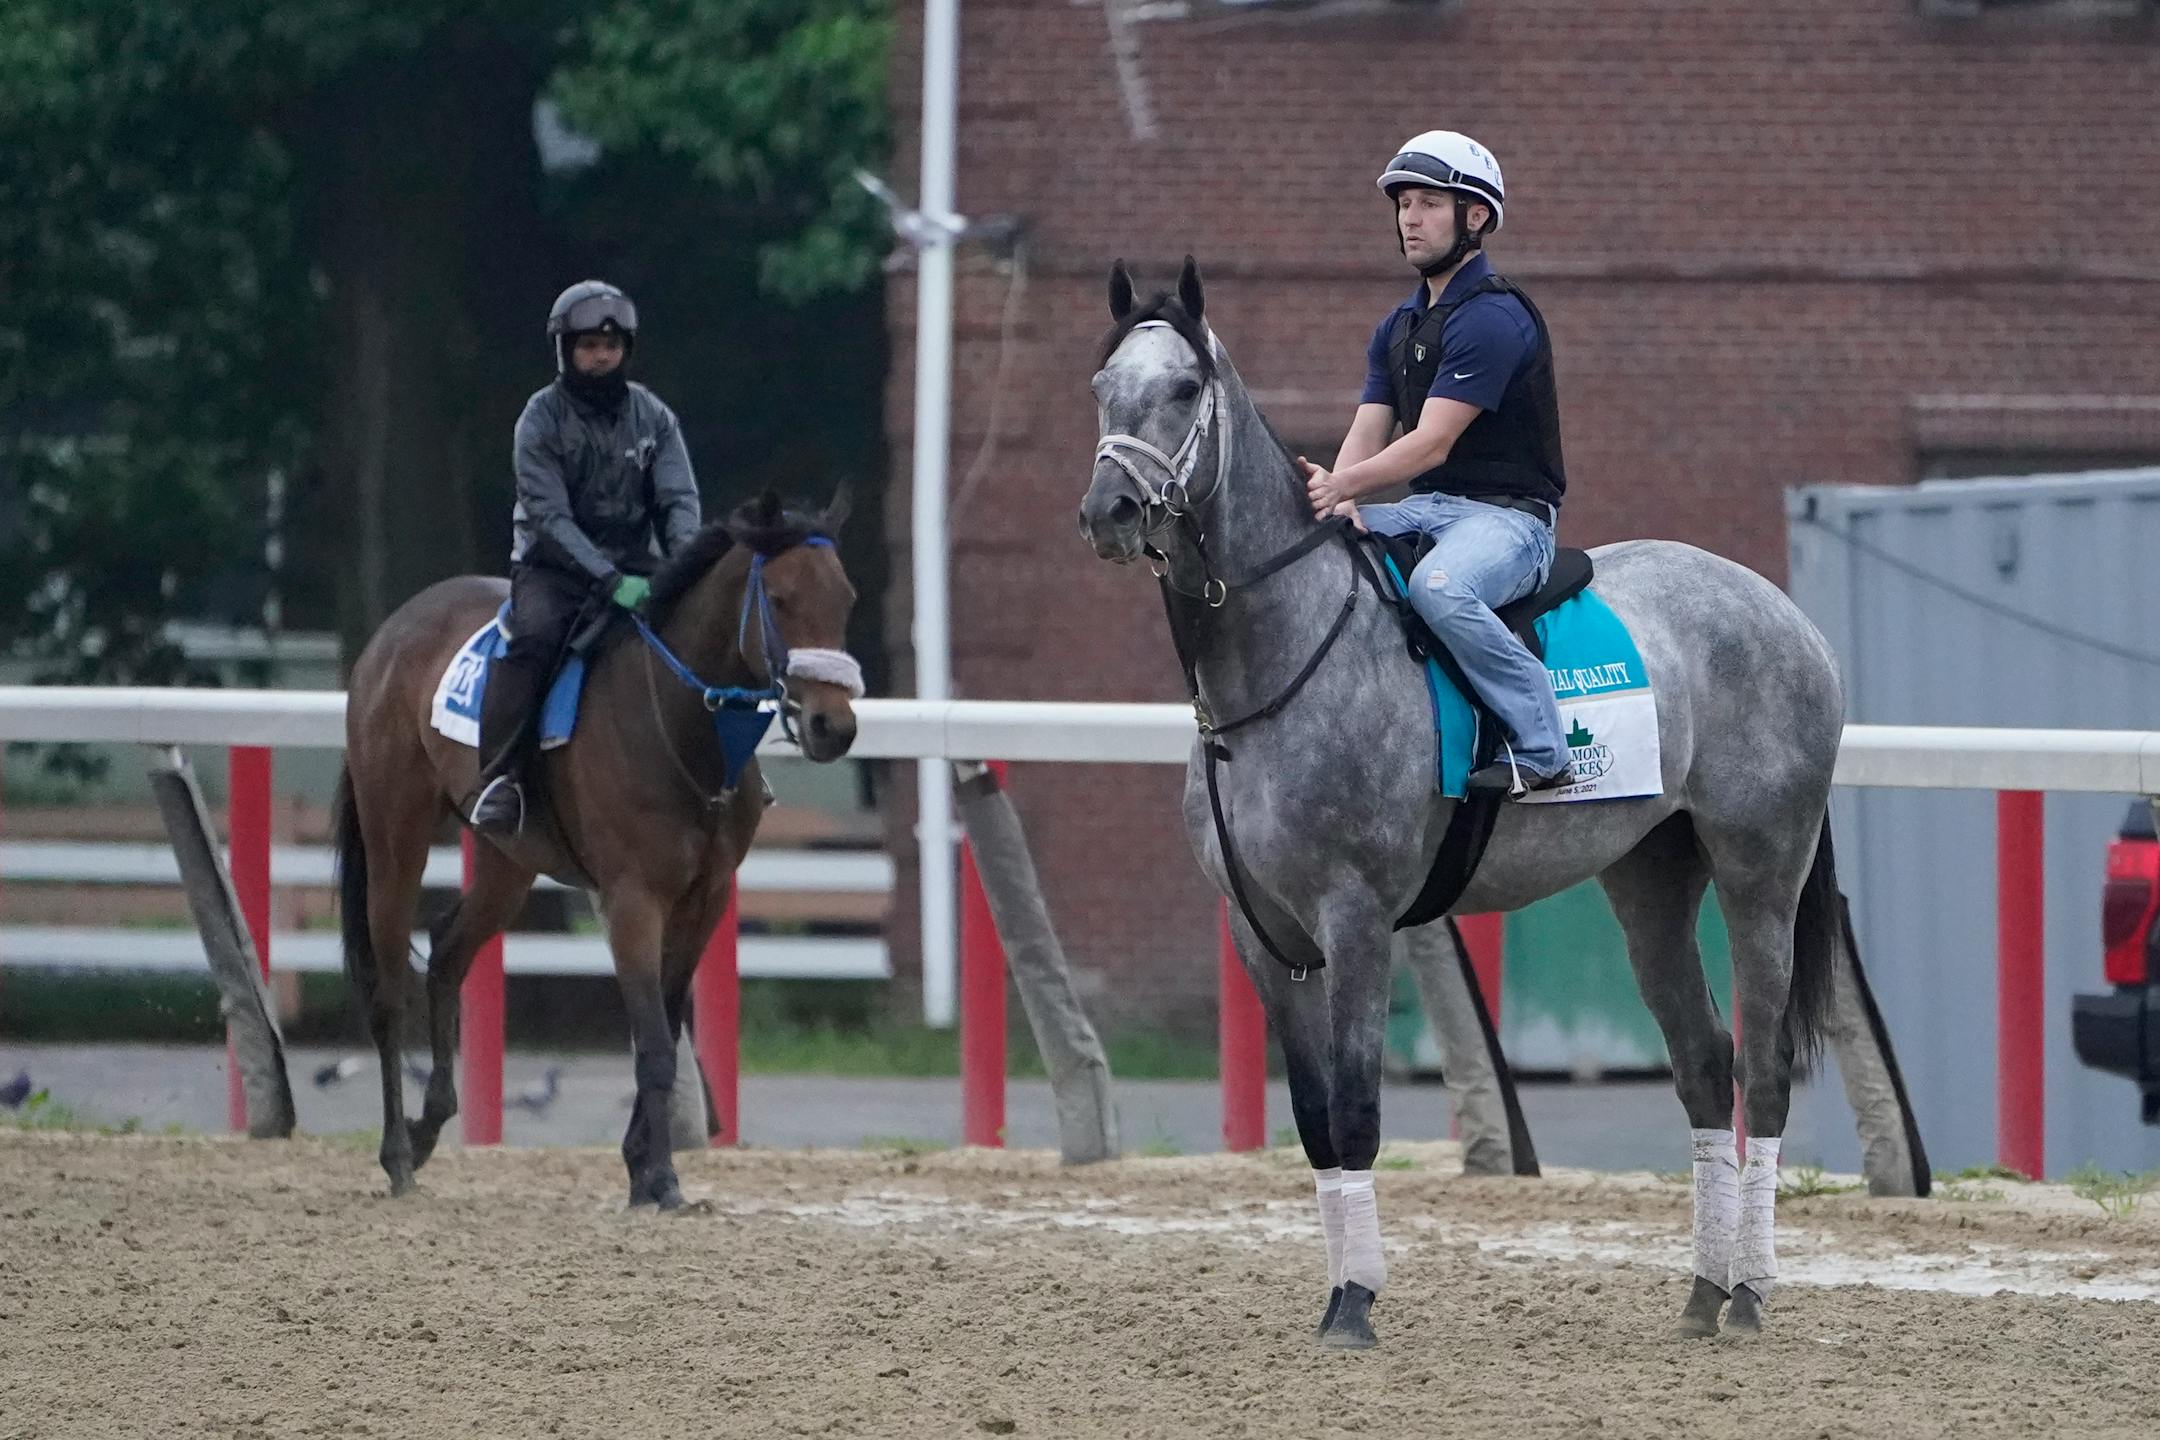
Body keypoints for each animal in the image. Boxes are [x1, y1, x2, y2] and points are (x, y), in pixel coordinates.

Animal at [332, 491, 861, 1208]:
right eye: (779, 598)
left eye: (846, 598)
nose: (834, 727)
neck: (680, 726)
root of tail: (391, 634)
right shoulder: (633, 901)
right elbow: (656, 1043)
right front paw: (661, 1177)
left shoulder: (705, 899)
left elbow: (664, 1022)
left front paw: (641, 1165)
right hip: (397, 834)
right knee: (389, 990)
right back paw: (397, 1155)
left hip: (508, 862)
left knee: (446, 952)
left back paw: (428, 1126)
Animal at [1078, 259, 1842, 1348]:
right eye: (1103, 388)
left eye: (1184, 390)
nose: (1109, 511)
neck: (1281, 659)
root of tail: (1785, 615)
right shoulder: (1261, 936)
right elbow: (1314, 1120)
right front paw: (1334, 1293)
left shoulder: (1355, 921)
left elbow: (1357, 1110)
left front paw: (1356, 1304)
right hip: (1651, 883)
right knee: (1703, 1061)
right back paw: (1701, 1291)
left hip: (1759, 873)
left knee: (1764, 1070)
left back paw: (1747, 1295)